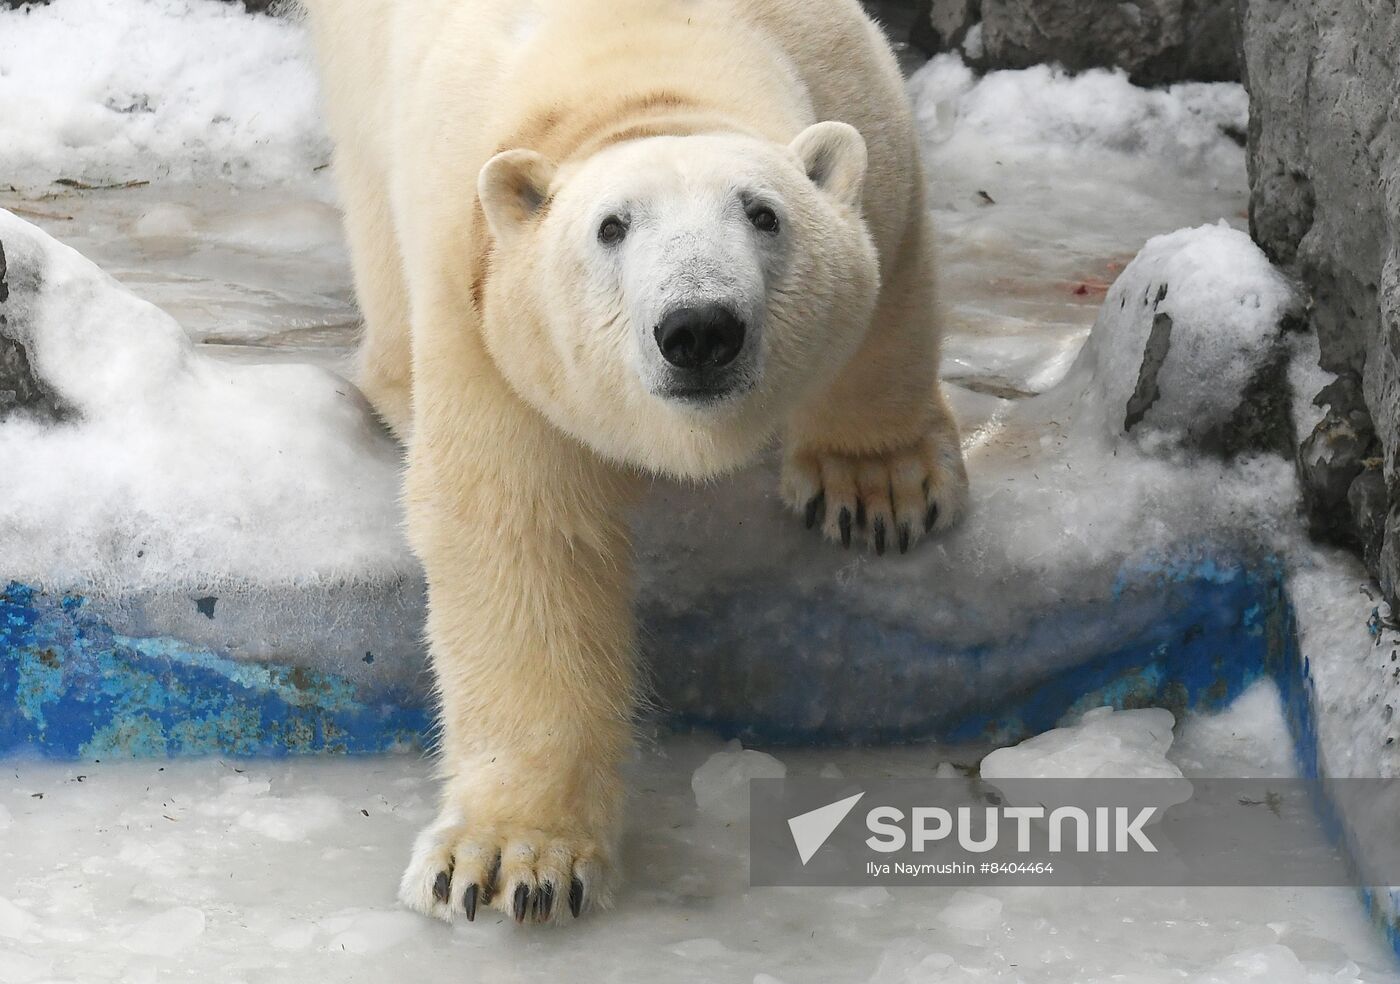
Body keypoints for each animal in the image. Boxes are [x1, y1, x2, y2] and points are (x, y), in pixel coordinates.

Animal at [300, 0, 969, 924]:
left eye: (763, 214)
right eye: (611, 226)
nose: (699, 328)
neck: (646, 57)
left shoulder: (863, 108)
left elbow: (891, 282)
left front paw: (875, 490)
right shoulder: (488, 306)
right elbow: (524, 540)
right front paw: (506, 860)